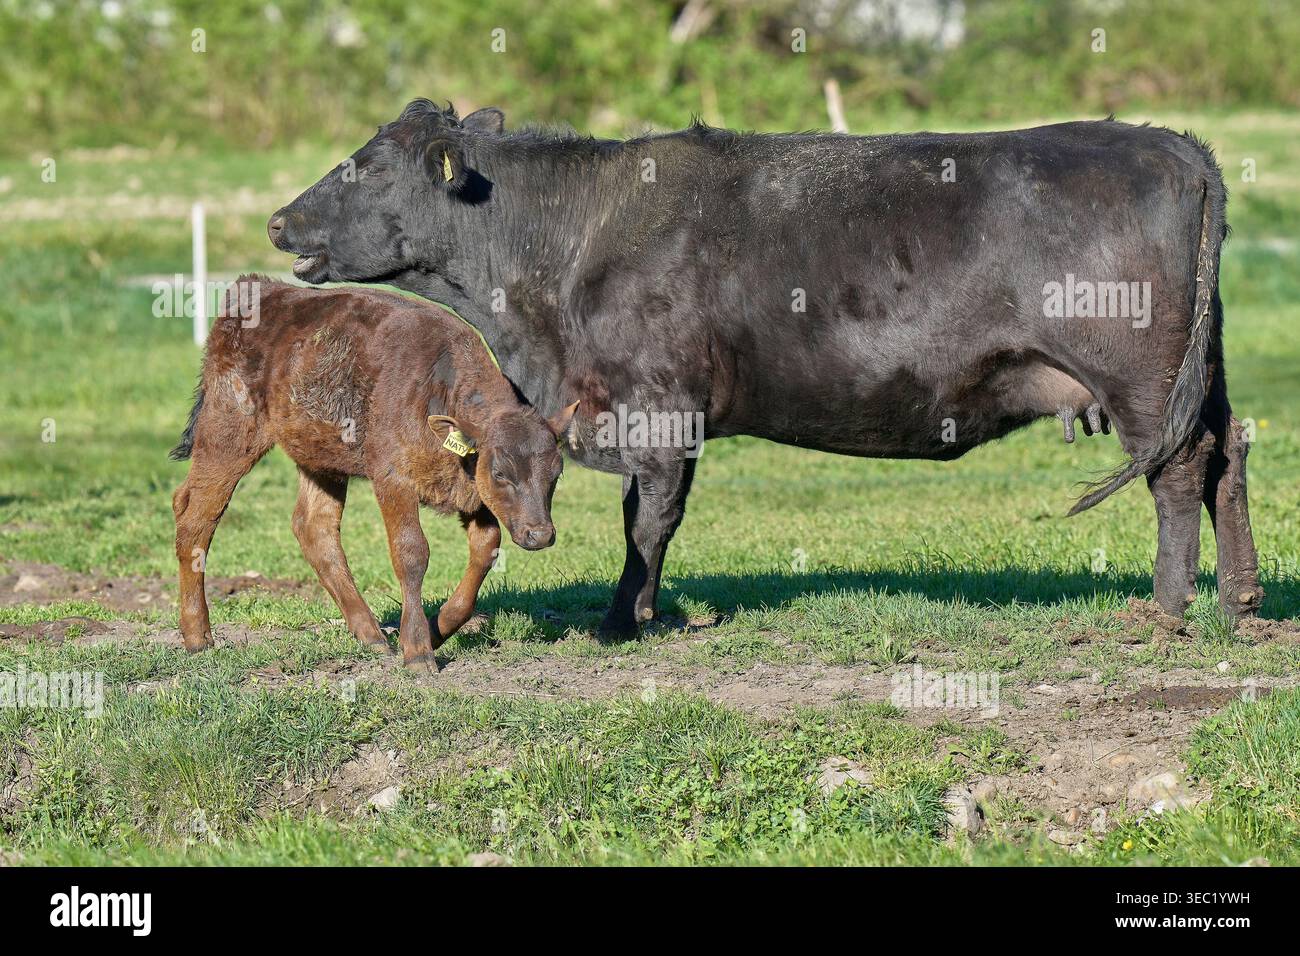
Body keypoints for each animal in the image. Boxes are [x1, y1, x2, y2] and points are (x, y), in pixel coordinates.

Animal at [170, 276, 577, 669]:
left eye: (556, 473)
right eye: (501, 472)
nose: (540, 535)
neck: (438, 393)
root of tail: (256, 289)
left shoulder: (471, 495)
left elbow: (485, 548)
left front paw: (437, 629)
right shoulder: (393, 480)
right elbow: (411, 552)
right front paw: (418, 652)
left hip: (322, 463)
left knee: (314, 526)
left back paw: (371, 636)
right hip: (228, 437)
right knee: (196, 516)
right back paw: (198, 638)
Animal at [267, 100, 1262, 633]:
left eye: (364, 166)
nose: (279, 220)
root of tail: (1170, 143)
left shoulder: (661, 407)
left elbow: (649, 521)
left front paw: (626, 617)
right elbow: (645, 516)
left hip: (1140, 382)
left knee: (1180, 474)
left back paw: (1167, 609)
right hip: (1197, 378)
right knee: (1228, 455)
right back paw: (1241, 598)